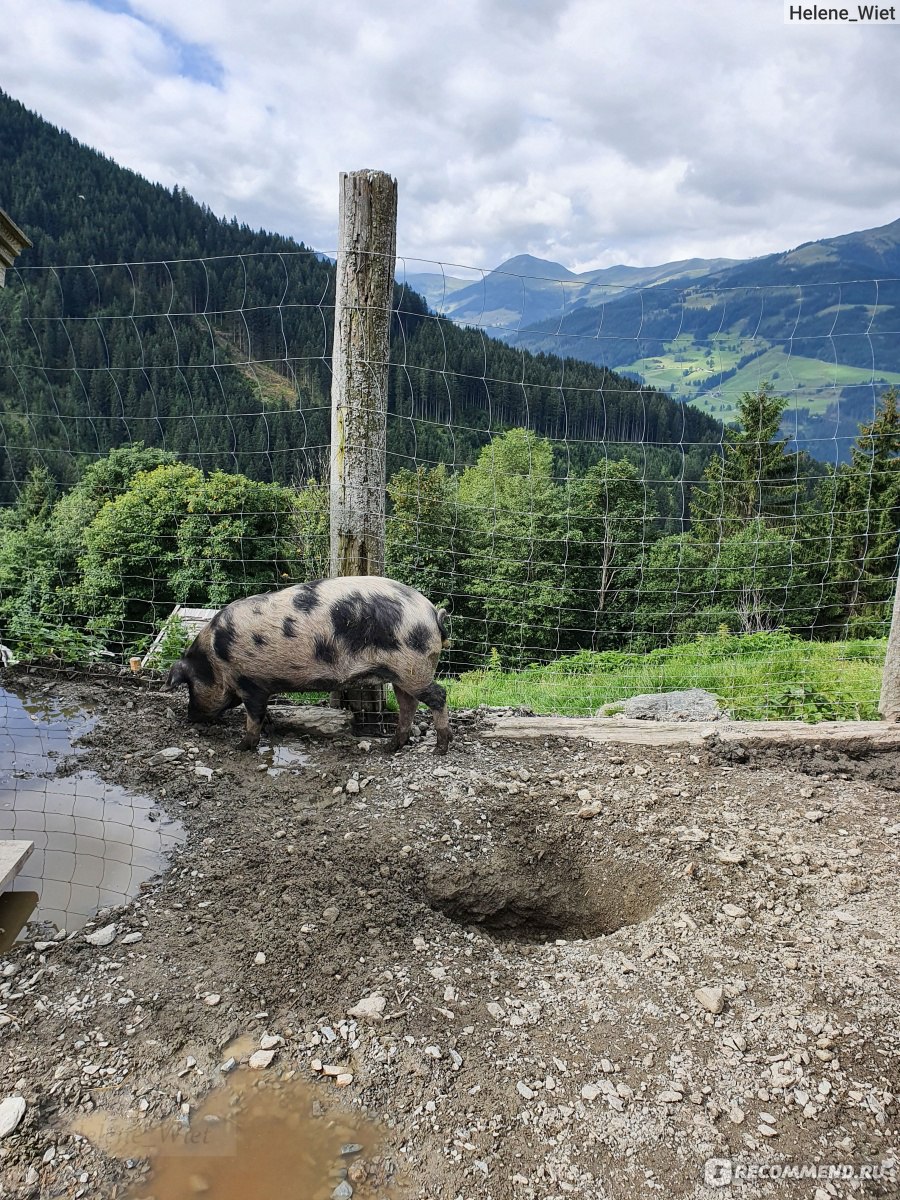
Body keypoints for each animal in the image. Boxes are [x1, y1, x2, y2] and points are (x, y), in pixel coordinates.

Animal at [164, 576, 451, 753]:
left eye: (190, 685)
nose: (190, 717)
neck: (216, 659)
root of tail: (431, 612)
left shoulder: (250, 683)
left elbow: (253, 715)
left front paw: (242, 746)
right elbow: (262, 714)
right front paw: (270, 729)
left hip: (413, 667)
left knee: (439, 695)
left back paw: (440, 749)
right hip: (402, 674)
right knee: (408, 704)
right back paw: (391, 747)